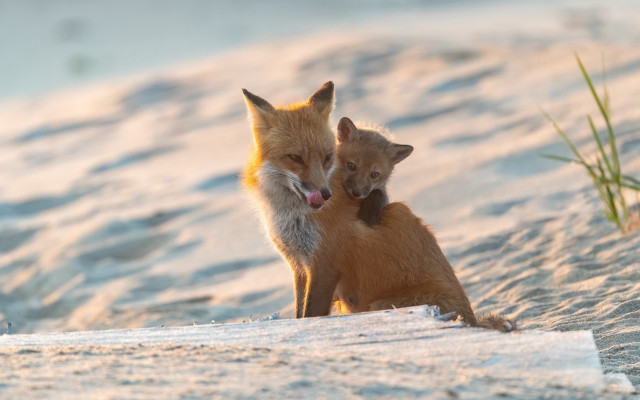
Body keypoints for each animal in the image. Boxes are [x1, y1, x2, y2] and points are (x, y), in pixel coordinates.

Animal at [241, 82, 514, 331]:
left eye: (328, 157)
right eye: (295, 158)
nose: (326, 195)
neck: (291, 216)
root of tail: (472, 320)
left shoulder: (324, 265)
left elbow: (310, 314)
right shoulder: (299, 266)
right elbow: (300, 312)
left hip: (380, 305)